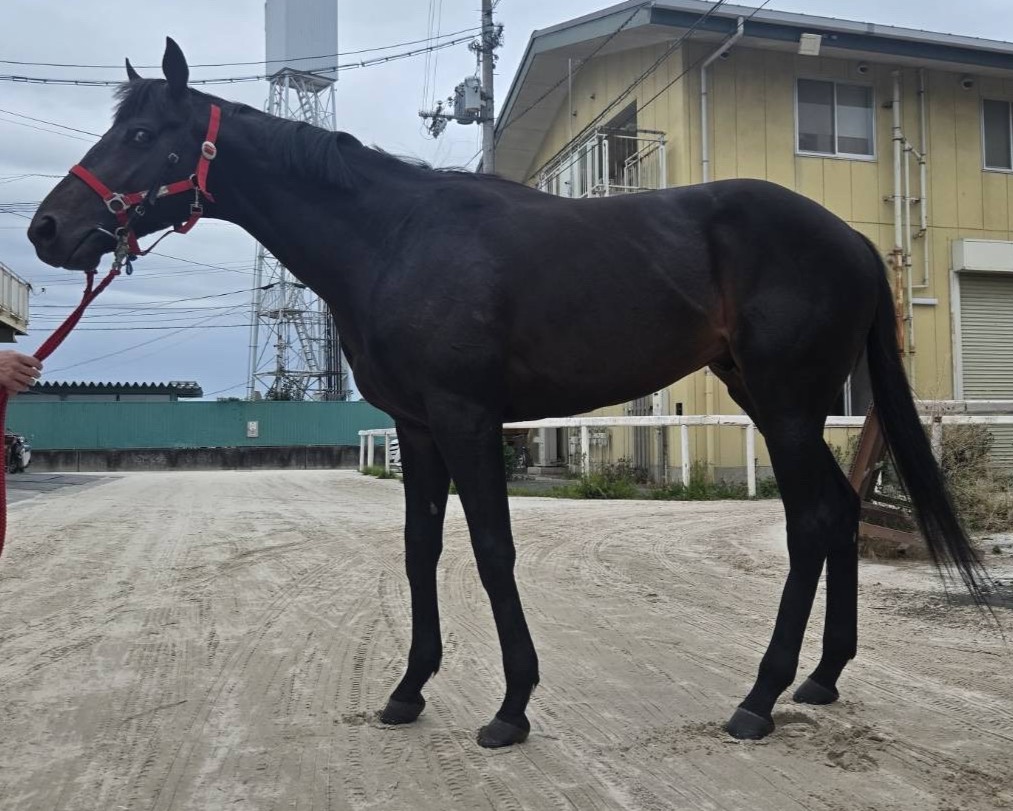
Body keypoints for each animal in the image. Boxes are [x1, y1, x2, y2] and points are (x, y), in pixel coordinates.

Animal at [28, 38, 986, 748]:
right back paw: (821, 678)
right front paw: (408, 688)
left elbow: (491, 550)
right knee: (837, 509)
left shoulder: (466, 416)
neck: (393, 237)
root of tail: (852, 242)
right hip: (766, 396)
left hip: (786, 403)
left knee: (812, 520)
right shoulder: (415, 426)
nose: (47, 229)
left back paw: (759, 697)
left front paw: (511, 705)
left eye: (144, 134)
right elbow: (419, 550)